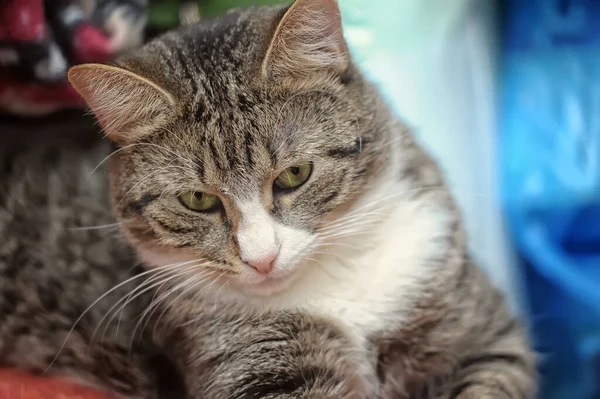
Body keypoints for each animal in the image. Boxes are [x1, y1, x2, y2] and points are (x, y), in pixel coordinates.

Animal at [0, 0, 536, 398]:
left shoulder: (480, 328)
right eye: (197, 199)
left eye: (295, 175)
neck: (335, 284)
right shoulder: (244, 361)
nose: (262, 258)